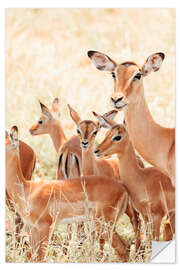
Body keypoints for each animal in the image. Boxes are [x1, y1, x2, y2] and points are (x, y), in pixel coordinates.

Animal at [5, 126, 130, 262]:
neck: (27, 189)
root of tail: (123, 189)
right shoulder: (33, 229)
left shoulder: (45, 227)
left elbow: (41, 258)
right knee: (126, 246)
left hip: (103, 224)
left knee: (122, 248)